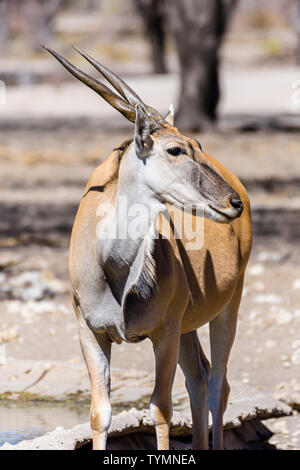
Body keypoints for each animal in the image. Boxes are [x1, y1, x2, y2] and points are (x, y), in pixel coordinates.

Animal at [44, 46, 251, 450]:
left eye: (198, 146)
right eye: (175, 149)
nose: (233, 202)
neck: (113, 266)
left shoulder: (164, 331)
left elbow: (161, 408)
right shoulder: (90, 331)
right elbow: (100, 413)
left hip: (226, 308)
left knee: (218, 384)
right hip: (189, 326)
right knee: (200, 377)